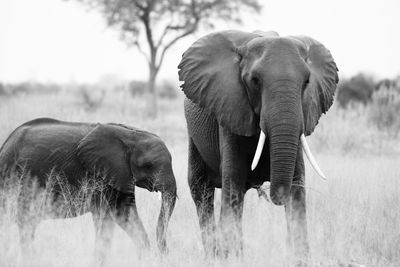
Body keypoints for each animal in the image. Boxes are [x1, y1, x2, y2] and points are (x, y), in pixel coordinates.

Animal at [0, 118, 177, 254]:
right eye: (148, 165)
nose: (165, 252)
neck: (131, 134)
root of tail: (6, 143)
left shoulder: (120, 175)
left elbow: (126, 214)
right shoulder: (98, 175)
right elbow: (105, 218)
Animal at [178, 30, 338, 262]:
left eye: (307, 81)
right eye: (254, 81)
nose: (276, 198)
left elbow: (297, 188)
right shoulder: (230, 109)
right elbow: (233, 183)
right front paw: (231, 259)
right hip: (194, 133)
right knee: (201, 189)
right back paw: (213, 256)